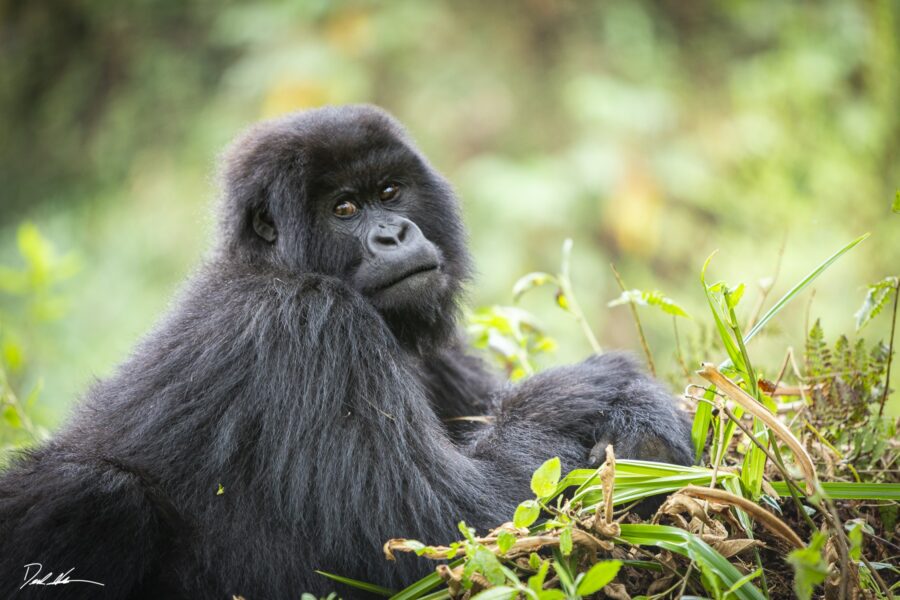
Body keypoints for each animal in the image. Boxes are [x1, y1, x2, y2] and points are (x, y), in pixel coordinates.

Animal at [0, 105, 692, 596]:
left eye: (388, 192)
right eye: (344, 209)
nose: (394, 235)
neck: (277, 262)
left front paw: (645, 414)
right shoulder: (311, 324)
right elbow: (456, 525)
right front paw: (589, 389)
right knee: (93, 490)